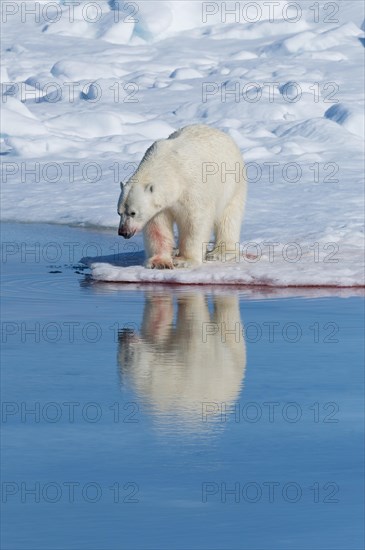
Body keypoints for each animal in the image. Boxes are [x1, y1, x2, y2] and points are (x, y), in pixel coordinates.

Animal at [118, 125, 246, 272]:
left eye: (133, 213)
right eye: (119, 212)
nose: (123, 232)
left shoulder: (192, 188)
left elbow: (195, 221)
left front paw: (184, 261)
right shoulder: (160, 206)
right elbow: (157, 227)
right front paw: (159, 262)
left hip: (232, 183)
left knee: (229, 217)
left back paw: (220, 252)